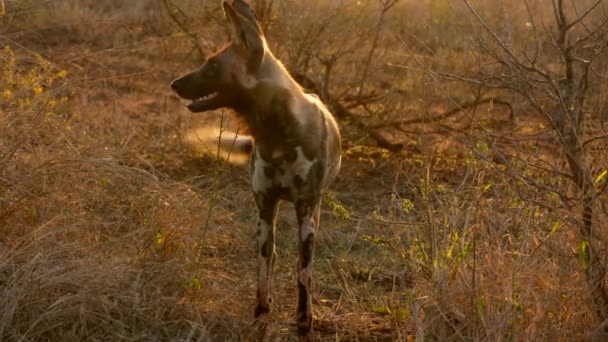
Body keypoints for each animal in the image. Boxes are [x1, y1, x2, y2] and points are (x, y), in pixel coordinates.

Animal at [170, 1, 342, 340]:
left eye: (212, 66)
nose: (175, 84)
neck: (277, 137)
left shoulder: (305, 213)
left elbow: (303, 276)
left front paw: (304, 323)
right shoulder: (264, 211)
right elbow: (263, 277)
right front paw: (261, 320)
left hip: (314, 212)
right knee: (272, 258)